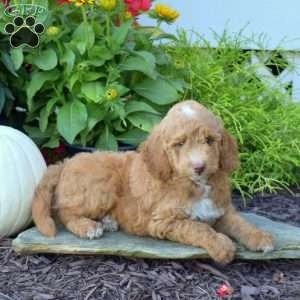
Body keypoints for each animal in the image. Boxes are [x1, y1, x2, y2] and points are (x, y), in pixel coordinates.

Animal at [32, 100, 274, 262]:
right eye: (179, 144)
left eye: (209, 140)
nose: (199, 166)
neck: (195, 184)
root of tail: (66, 162)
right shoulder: (163, 221)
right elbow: (198, 228)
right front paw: (222, 246)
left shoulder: (221, 209)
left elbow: (241, 223)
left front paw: (261, 237)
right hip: (100, 189)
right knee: (64, 212)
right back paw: (88, 226)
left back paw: (108, 221)